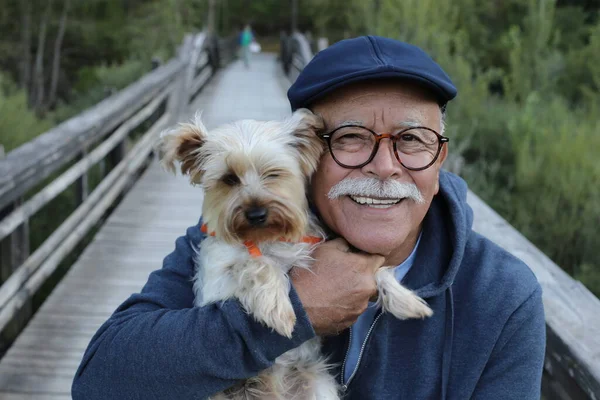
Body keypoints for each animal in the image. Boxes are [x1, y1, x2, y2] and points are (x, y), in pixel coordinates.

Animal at [159, 109, 432, 400]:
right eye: (229, 179)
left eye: (273, 174)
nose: (256, 214)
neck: (267, 237)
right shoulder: (217, 282)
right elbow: (256, 263)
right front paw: (279, 310)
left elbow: (378, 270)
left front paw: (407, 300)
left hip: (317, 385)